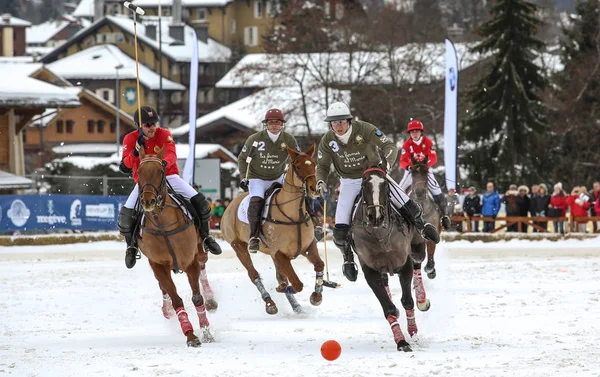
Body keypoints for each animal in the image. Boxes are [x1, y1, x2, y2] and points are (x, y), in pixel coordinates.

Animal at [137, 147, 217, 346]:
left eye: (161, 171)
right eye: (139, 172)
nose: (148, 201)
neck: (163, 225)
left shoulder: (190, 261)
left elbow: (197, 297)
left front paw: (206, 332)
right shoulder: (157, 264)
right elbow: (176, 299)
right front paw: (190, 334)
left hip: (200, 250)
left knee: (203, 267)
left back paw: (211, 300)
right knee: (162, 287)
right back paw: (167, 311)